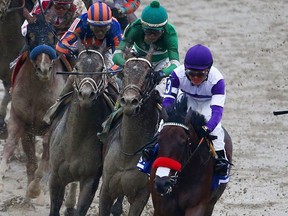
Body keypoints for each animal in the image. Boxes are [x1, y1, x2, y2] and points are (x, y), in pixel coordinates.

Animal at [0, 12, 65, 197]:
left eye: (52, 35)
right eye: (30, 36)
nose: (44, 69)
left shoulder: (51, 126)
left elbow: (46, 155)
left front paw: (35, 189)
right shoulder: (19, 120)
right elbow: (10, 145)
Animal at [48, 46, 118, 215]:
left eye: (100, 69)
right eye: (76, 68)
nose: (86, 94)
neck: (75, 140)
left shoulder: (90, 180)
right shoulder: (56, 177)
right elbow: (54, 207)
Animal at [99, 49, 162, 216]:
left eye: (147, 75)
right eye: (124, 73)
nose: (129, 102)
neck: (128, 151)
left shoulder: (142, 195)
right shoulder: (106, 190)